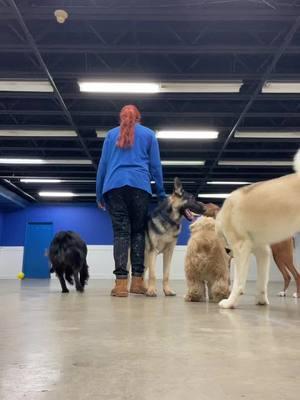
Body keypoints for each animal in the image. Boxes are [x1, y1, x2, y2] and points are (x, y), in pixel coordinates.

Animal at [216, 150, 300, 310]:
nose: (227, 251)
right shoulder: (263, 252)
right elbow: (262, 281)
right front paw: (261, 300)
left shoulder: (241, 248)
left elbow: (238, 282)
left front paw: (230, 302)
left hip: (282, 256)